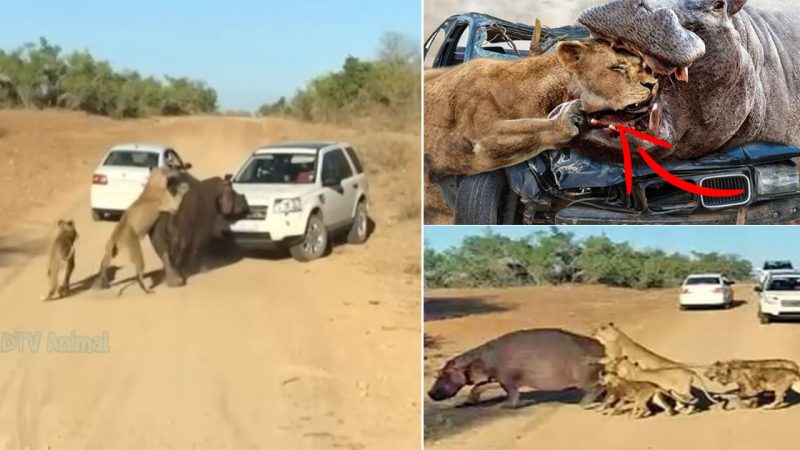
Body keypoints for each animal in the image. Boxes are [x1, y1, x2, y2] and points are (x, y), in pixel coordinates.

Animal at [424, 39, 656, 179]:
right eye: (617, 67)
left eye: (643, 65)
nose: (653, 84)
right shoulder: (479, 133)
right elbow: (531, 126)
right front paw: (566, 119)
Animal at [428, 328, 604, 410]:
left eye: (443, 373)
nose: (429, 393)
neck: (476, 361)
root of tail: (601, 346)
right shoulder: (495, 377)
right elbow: (478, 387)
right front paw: (468, 402)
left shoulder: (506, 379)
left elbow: (512, 393)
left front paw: (505, 406)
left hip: (584, 377)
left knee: (595, 388)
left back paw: (581, 404)